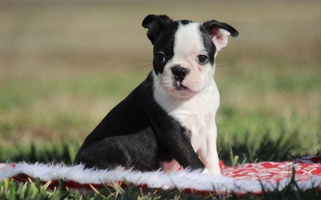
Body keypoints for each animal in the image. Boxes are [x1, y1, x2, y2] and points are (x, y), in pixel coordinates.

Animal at [74, 14, 236, 174]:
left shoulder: (208, 128)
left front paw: (216, 177)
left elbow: (211, 159)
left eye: (202, 58)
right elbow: (196, 163)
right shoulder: (174, 133)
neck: (190, 98)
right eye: (160, 57)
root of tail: (76, 162)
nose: (179, 70)